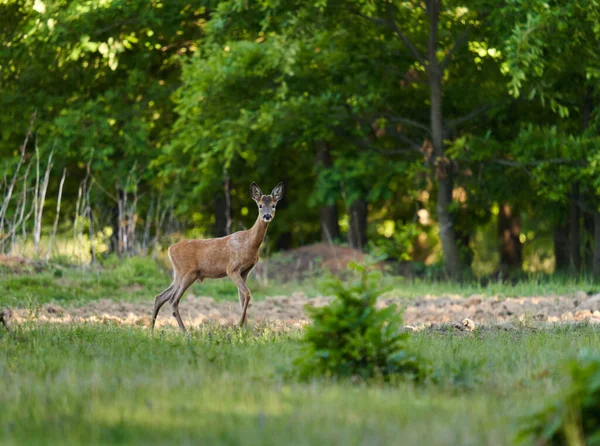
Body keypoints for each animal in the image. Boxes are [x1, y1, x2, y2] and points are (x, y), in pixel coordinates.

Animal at [149, 180, 282, 332]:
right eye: (260, 205)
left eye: (273, 205)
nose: (267, 216)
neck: (249, 243)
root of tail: (170, 249)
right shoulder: (232, 268)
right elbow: (247, 293)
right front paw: (238, 325)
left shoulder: (245, 271)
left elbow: (242, 297)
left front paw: (245, 329)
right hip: (188, 273)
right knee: (173, 300)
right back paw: (184, 331)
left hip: (179, 274)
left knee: (160, 296)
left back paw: (151, 330)